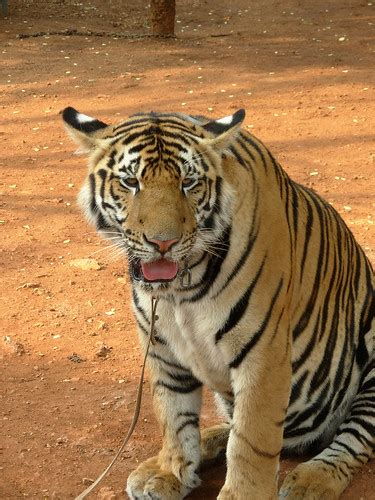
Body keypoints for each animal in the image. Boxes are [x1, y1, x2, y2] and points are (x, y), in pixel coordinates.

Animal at [63, 104, 374, 496]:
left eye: (189, 183)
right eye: (131, 182)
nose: (162, 243)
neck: (179, 291)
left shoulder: (263, 353)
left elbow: (252, 439)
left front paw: (245, 494)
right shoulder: (162, 349)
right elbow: (174, 416)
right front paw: (170, 472)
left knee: (351, 440)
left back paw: (311, 481)